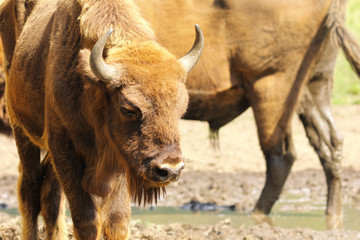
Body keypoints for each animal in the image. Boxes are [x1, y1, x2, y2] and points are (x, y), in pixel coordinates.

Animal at [0, 0, 202, 238]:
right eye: (129, 108)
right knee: (30, 190)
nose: (170, 169)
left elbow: (117, 220)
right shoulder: (63, 148)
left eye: (182, 108)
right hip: (21, 130)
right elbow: (86, 220)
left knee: (50, 196)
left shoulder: (121, 159)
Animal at [135, 0, 360, 228]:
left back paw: (257, 214)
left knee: (281, 155)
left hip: (271, 86)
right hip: (315, 84)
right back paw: (332, 215)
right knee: (329, 143)